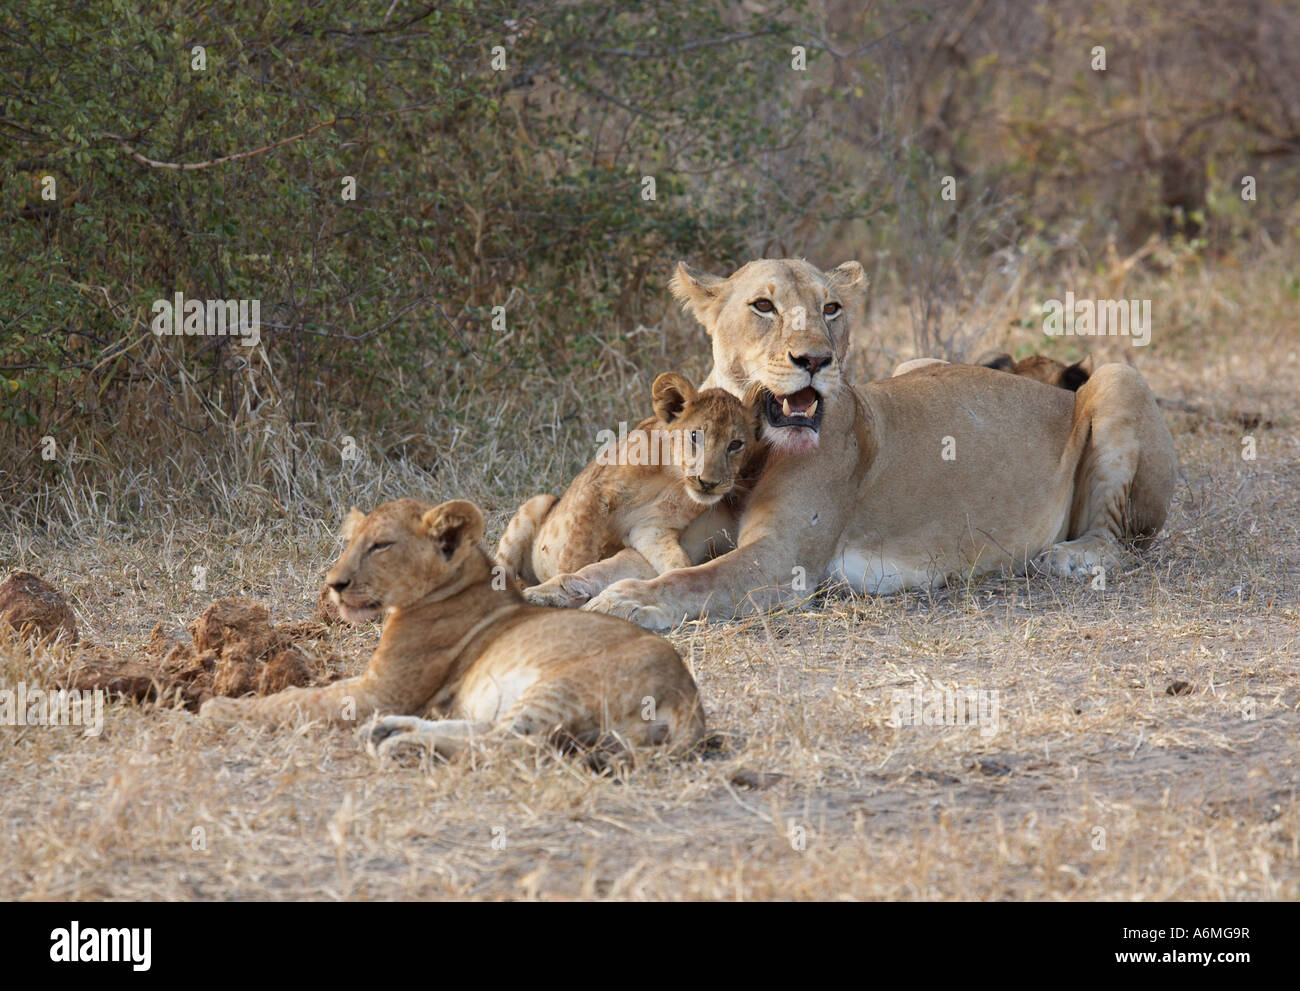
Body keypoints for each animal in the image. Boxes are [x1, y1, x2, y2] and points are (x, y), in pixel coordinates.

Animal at [199, 499, 707, 761]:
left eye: (380, 546)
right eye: (351, 543)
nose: (334, 584)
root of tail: (690, 701)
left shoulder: (381, 690)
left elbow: (297, 702)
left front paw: (220, 708)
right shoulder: (379, 686)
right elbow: (307, 694)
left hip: (564, 685)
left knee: (511, 743)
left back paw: (405, 743)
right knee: (489, 729)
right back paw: (393, 732)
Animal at [495, 372, 761, 608]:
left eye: (735, 444)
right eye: (695, 436)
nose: (708, 482)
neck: (672, 477)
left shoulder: (652, 528)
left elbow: (676, 560)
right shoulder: (596, 494)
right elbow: (578, 554)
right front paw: (562, 587)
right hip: (537, 503)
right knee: (502, 567)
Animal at [581, 258, 1176, 631]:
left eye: (831, 309)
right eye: (763, 307)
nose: (816, 360)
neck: (751, 452)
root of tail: (1048, 388)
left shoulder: (782, 561)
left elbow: (692, 579)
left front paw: (626, 601)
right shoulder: (697, 533)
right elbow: (622, 563)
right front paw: (566, 587)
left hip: (1119, 377)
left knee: (1116, 540)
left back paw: (1068, 558)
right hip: (916, 361)